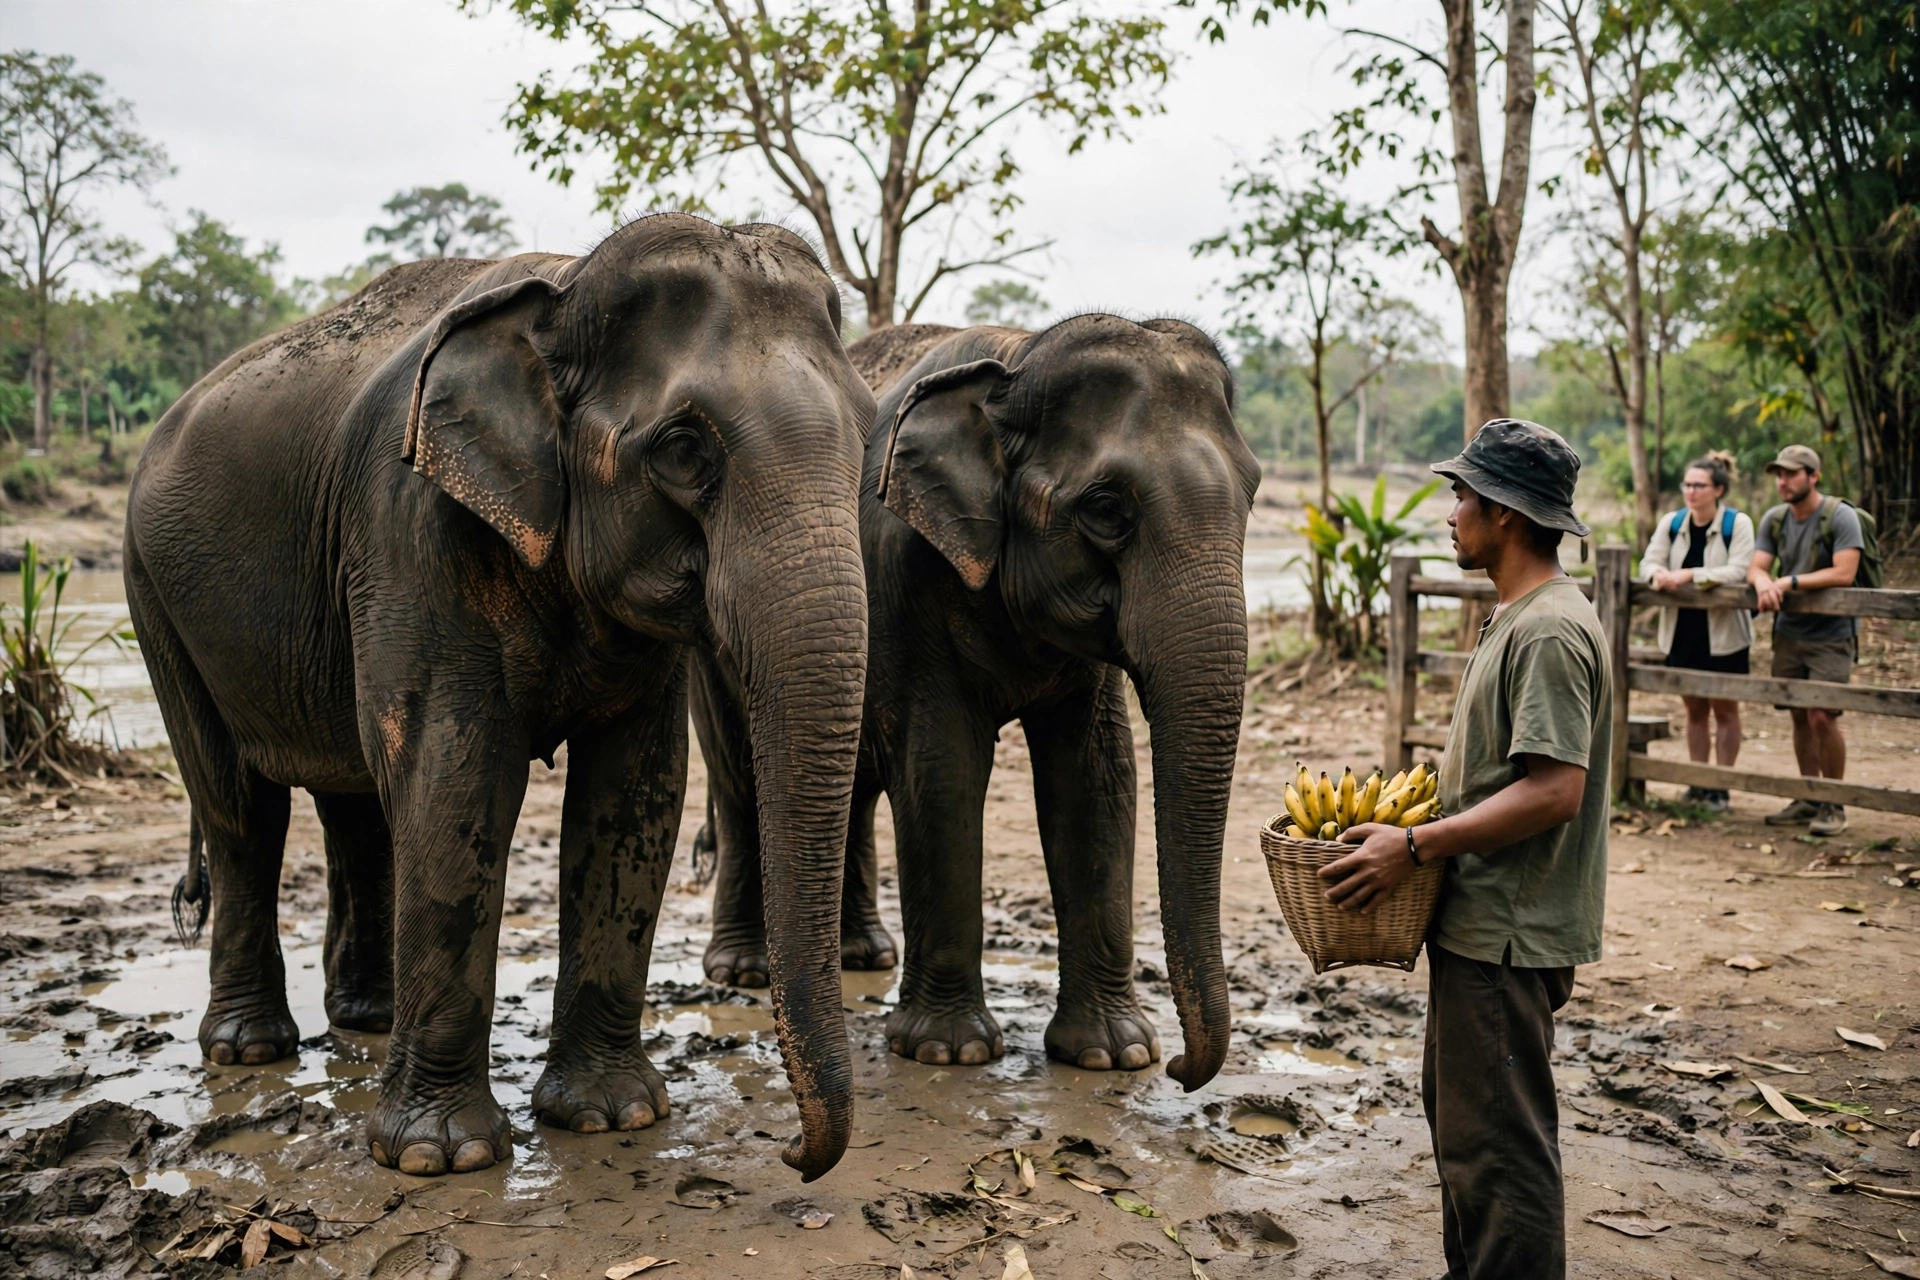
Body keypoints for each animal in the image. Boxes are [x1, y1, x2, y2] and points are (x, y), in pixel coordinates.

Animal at [124, 214, 873, 1181]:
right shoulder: (409, 525)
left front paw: (611, 1117)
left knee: (356, 801)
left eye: (868, 435)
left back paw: (367, 1018)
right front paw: (440, 1158)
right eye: (682, 449)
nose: (789, 1154)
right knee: (241, 806)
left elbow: (634, 792)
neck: (566, 282)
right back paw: (249, 1049)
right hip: (155, 597)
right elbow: (457, 775)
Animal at [695, 316, 1258, 1090]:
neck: (1017, 360)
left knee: (850, 789)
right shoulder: (904, 578)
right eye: (1106, 509)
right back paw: (743, 971)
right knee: (737, 774)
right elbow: (942, 772)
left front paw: (1112, 1054)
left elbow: (1097, 781)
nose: (1179, 1068)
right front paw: (948, 1051)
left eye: (1253, 493)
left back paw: (864, 956)